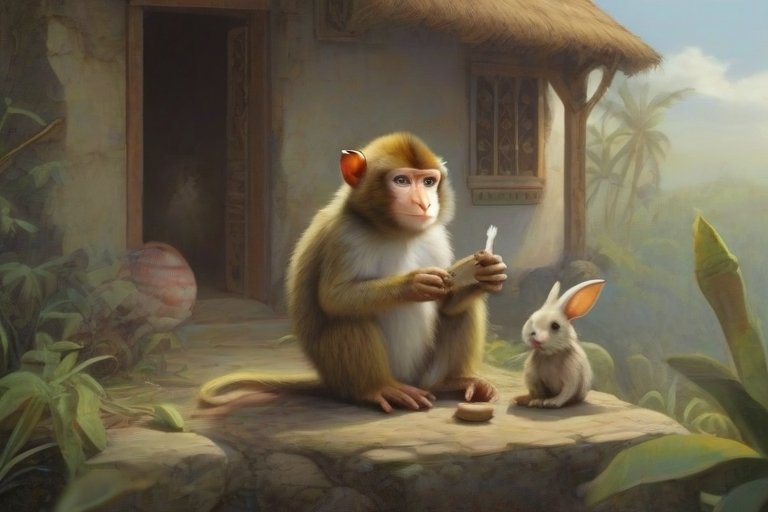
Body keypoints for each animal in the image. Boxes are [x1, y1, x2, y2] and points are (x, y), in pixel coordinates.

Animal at [198, 132, 507, 413]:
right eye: (402, 181)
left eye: (428, 182)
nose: (425, 204)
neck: (396, 233)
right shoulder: (344, 235)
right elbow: (334, 297)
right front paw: (415, 284)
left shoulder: (437, 237)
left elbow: (448, 300)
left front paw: (484, 273)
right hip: (344, 374)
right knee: (350, 316)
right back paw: (378, 389)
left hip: (424, 372)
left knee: (460, 312)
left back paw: (450, 382)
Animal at [514, 279, 605, 408]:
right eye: (531, 320)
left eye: (555, 326)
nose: (534, 338)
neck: (551, 354)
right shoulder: (535, 379)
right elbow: (539, 392)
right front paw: (537, 402)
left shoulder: (571, 378)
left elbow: (565, 393)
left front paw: (551, 403)